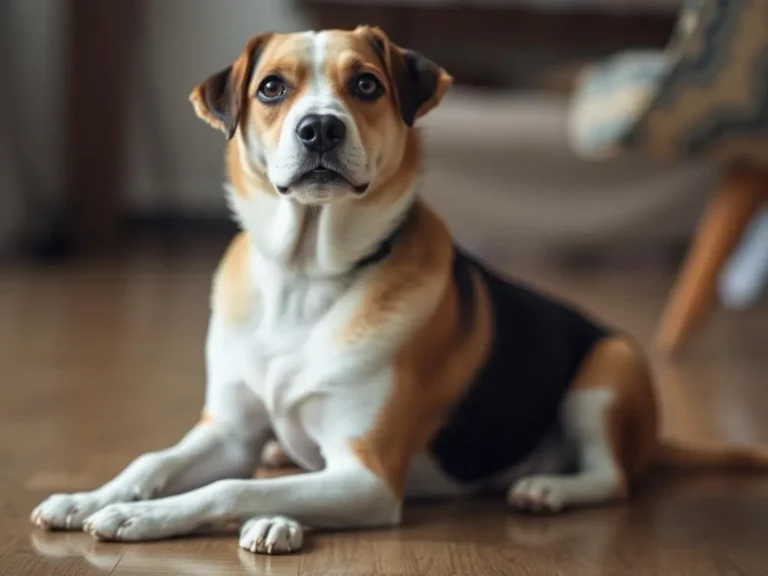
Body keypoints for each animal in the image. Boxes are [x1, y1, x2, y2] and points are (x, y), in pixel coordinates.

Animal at [30, 25, 768, 552]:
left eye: (365, 84)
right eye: (271, 89)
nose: (319, 128)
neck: (306, 277)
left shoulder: (368, 476)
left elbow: (230, 488)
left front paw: (142, 518)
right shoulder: (229, 430)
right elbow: (152, 457)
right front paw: (89, 497)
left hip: (609, 365)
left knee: (613, 478)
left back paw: (549, 488)